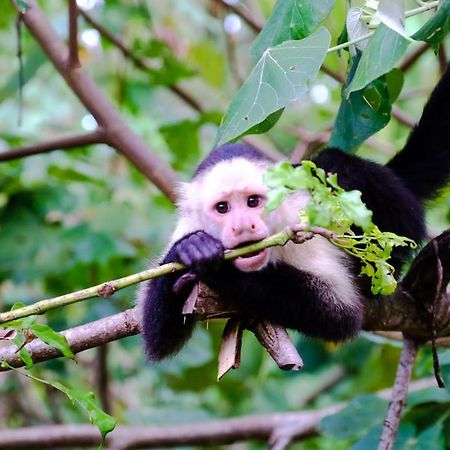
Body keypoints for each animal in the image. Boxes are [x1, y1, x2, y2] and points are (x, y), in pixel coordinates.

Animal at [139, 65, 450, 362]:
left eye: (253, 201)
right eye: (223, 208)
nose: (243, 226)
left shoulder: (298, 221)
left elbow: (340, 313)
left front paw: (221, 270)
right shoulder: (188, 224)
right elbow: (158, 341)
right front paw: (190, 250)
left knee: (335, 164)